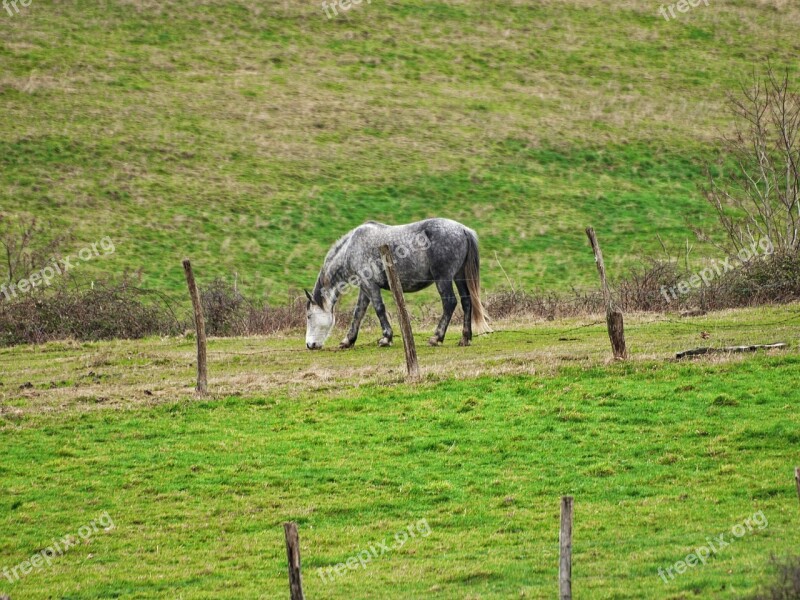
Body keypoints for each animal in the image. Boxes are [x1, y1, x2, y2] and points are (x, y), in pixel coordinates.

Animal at [306, 216, 494, 350]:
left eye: (308, 316)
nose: (309, 345)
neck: (351, 247)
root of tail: (462, 229)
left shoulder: (370, 285)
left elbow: (379, 308)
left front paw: (386, 338)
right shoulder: (365, 288)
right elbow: (358, 312)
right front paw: (348, 340)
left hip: (444, 279)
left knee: (450, 303)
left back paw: (436, 337)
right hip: (459, 277)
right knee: (466, 302)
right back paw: (465, 338)